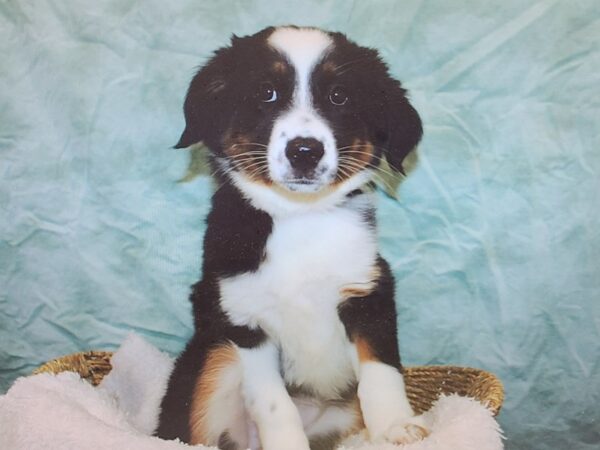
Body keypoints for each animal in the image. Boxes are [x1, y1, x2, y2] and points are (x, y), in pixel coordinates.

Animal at [156, 25, 426, 450]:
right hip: (214, 360)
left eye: (339, 96)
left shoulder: (369, 293)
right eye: (266, 92)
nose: (304, 151)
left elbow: (381, 372)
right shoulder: (245, 322)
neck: (302, 219)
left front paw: (395, 426)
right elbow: (273, 404)